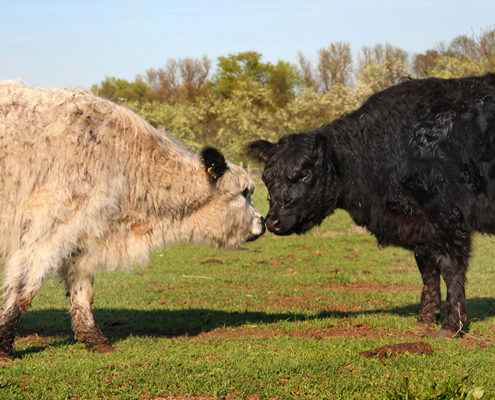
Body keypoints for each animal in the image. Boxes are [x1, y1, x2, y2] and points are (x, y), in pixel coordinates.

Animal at [0, 82, 268, 360]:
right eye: (245, 192)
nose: (263, 222)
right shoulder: (45, 233)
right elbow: (22, 288)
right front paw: (3, 347)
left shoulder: (83, 237)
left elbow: (82, 290)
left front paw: (94, 338)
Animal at [248, 73, 495, 336]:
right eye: (267, 178)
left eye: (304, 174)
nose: (272, 221)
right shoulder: (421, 228)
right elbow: (427, 270)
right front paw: (426, 318)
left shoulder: (448, 219)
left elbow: (451, 270)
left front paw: (451, 325)